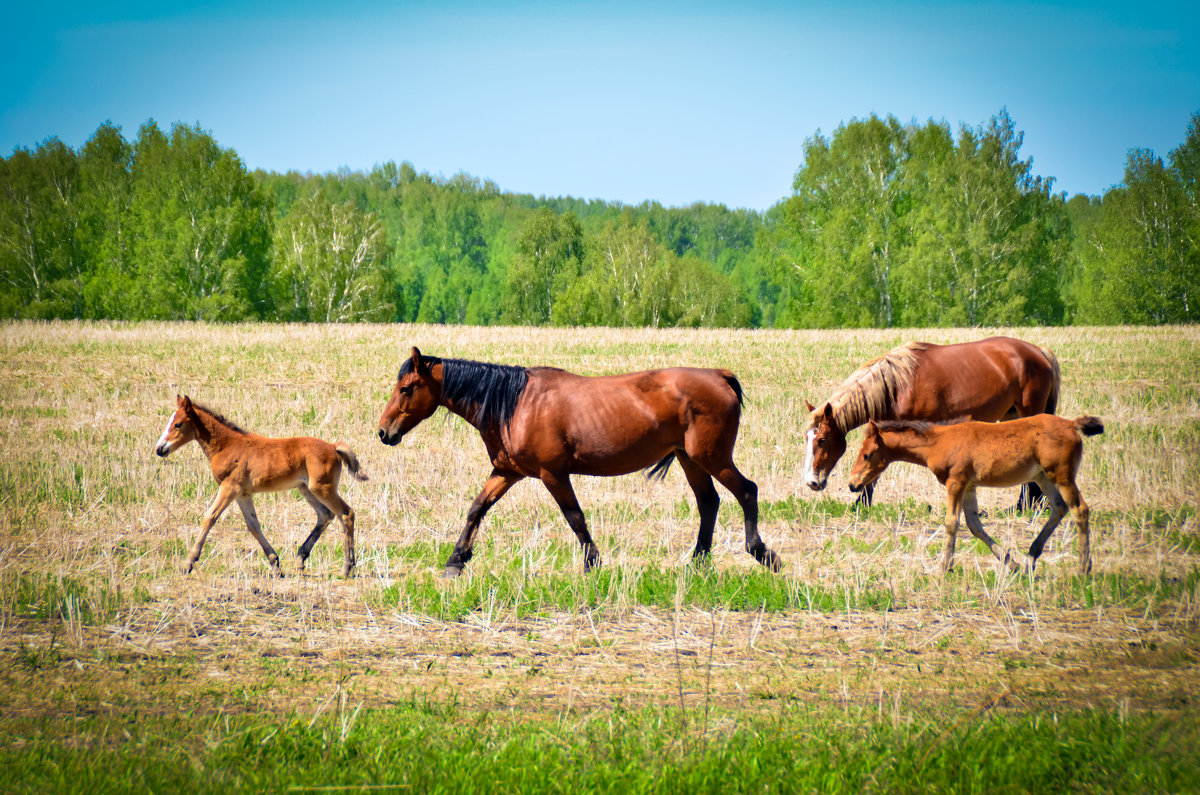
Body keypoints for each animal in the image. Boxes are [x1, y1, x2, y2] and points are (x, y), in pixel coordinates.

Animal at [157, 396, 367, 578]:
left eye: (178, 424)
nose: (160, 449)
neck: (227, 446)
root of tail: (333, 447)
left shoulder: (229, 488)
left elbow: (209, 518)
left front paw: (188, 563)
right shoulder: (242, 493)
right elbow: (253, 525)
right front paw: (275, 565)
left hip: (322, 488)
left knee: (346, 513)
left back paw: (347, 567)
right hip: (305, 489)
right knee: (325, 515)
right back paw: (301, 558)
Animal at [379, 348, 782, 578]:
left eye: (406, 388)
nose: (384, 432)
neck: (515, 403)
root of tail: (719, 375)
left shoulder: (552, 473)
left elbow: (574, 517)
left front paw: (592, 563)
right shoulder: (507, 472)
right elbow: (476, 508)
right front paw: (456, 560)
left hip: (711, 457)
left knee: (746, 491)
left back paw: (761, 553)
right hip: (690, 460)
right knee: (708, 502)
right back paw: (697, 561)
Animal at [801, 333, 1056, 506]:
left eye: (822, 440)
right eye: (807, 438)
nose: (812, 482)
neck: (898, 386)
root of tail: (1038, 351)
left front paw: (860, 505)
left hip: (1029, 412)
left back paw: (1027, 505)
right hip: (1011, 415)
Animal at [849, 413, 1099, 576]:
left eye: (868, 455)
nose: (852, 484)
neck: (939, 441)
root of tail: (1072, 424)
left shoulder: (956, 482)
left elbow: (951, 523)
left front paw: (943, 568)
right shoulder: (969, 487)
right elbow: (974, 525)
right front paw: (1011, 563)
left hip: (1062, 476)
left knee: (1079, 510)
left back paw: (1082, 568)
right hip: (1043, 477)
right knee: (1059, 507)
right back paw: (1030, 558)